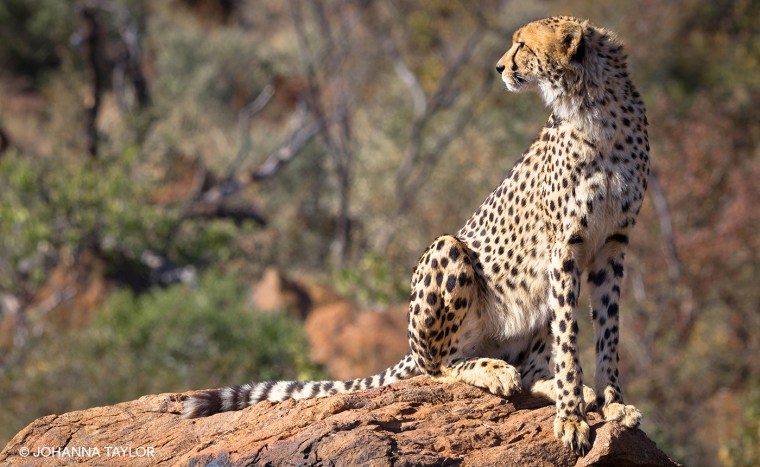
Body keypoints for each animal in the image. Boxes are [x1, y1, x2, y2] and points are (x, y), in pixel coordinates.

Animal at [183, 16, 649, 455]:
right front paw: (571, 418)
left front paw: (611, 403)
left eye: (522, 44)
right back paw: (495, 372)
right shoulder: (563, 247)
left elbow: (607, 332)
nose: (499, 67)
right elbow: (569, 338)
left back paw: (556, 386)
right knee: (440, 365)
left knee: (526, 371)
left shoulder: (612, 246)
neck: (591, 105)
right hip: (449, 250)